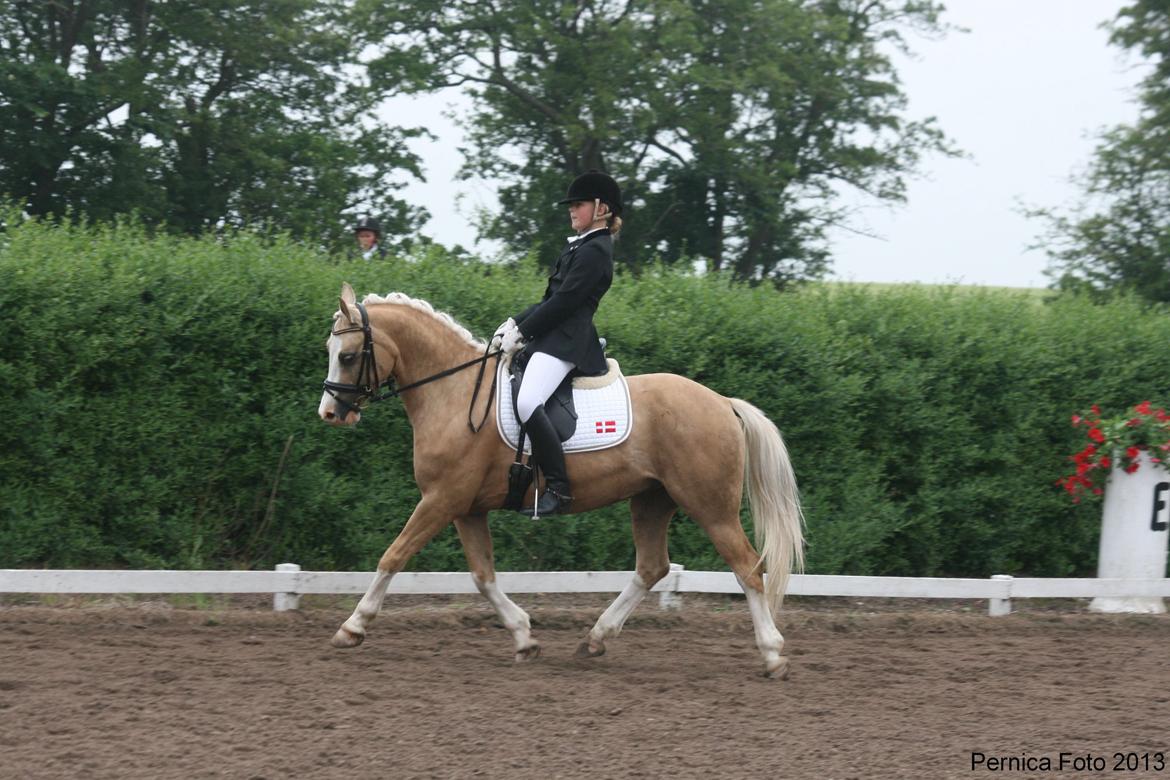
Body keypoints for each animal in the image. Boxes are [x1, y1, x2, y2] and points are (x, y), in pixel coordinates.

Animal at [317, 283, 805, 678]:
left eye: (347, 356)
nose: (330, 413)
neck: (452, 394)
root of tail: (722, 402)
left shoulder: (441, 499)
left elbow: (393, 556)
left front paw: (352, 627)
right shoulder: (466, 508)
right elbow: (483, 575)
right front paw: (524, 637)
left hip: (709, 505)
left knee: (747, 566)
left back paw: (772, 655)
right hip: (653, 499)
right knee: (652, 567)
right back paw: (595, 639)